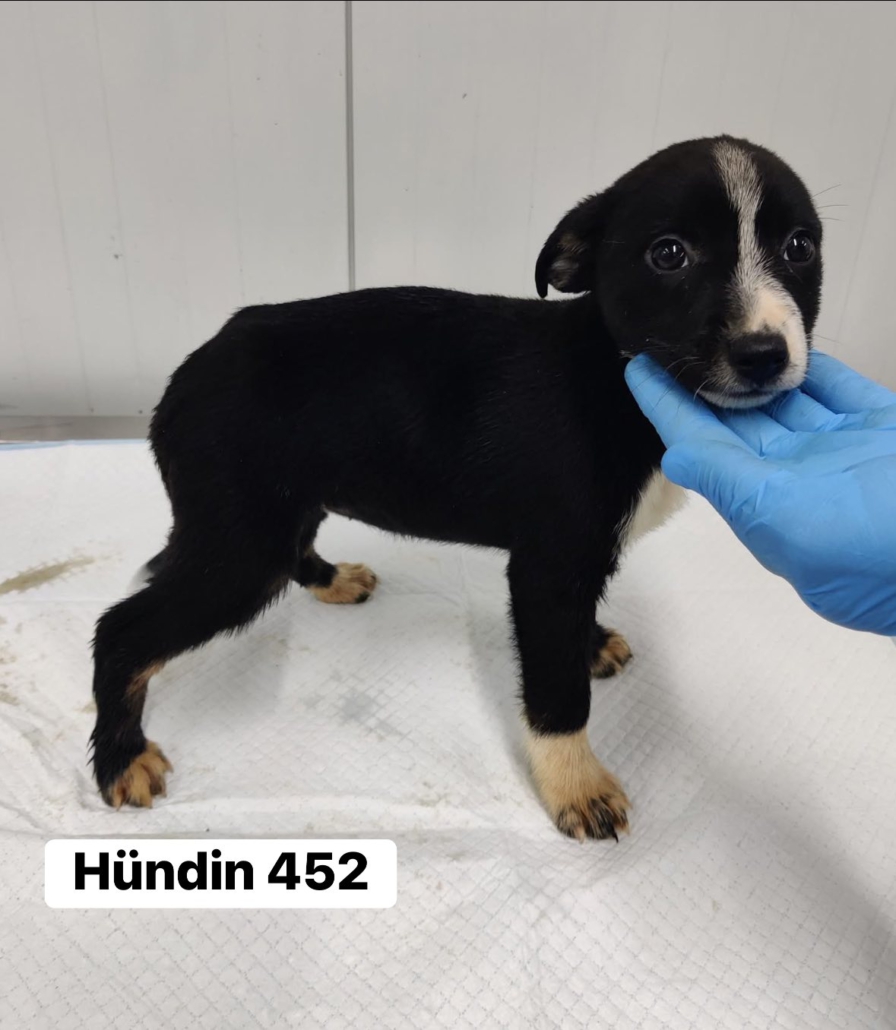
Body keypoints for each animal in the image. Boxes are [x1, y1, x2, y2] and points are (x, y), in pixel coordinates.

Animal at [90, 135, 822, 840]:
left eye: (800, 248)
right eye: (668, 254)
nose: (765, 355)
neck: (614, 378)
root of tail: (185, 377)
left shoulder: (574, 564)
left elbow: (572, 637)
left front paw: (590, 648)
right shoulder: (549, 566)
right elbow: (557, 694)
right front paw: (575, 786)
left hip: (281, 506)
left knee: (294, 546)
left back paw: (332, 579)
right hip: (241, 548)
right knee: (120, 631)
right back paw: (119, 757)